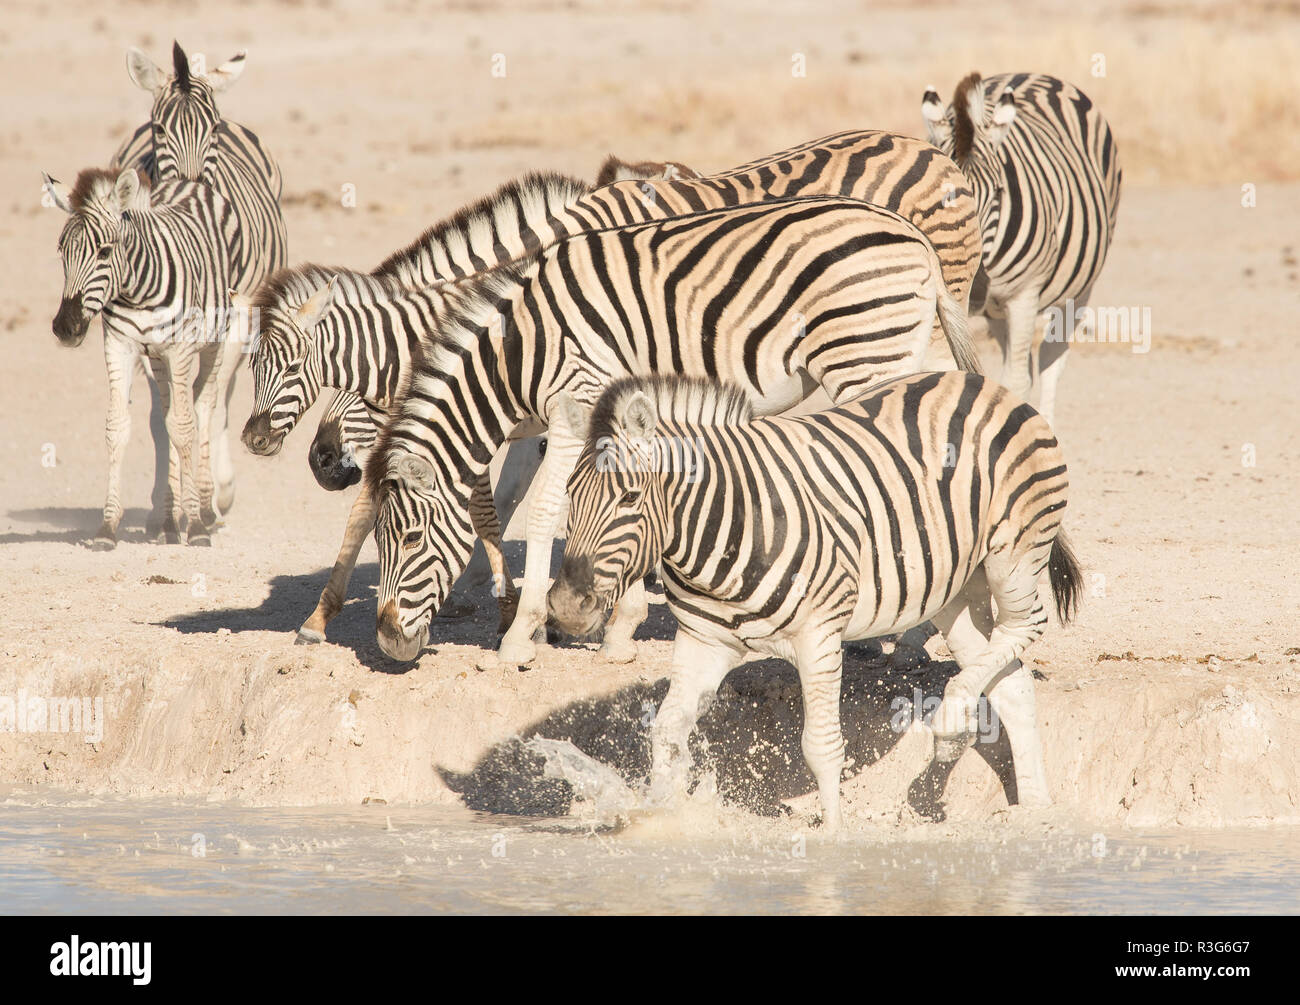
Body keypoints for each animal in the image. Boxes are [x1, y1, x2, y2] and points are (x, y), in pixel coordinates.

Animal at [44, 169, 237, 553]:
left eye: (104, 252)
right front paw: (107, 527)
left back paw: (204, 509)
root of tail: (188, 181)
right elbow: (118, 428)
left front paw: (195, 526)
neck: (136, 292)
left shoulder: (180, 349)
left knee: (203, 406)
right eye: (62, 251)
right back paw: (168, 519)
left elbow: (184, 427)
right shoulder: (119, 346)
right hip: (158, 360)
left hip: (215, 341)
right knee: (165, 414)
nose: (65, 327)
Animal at [112, 41, 289, 517]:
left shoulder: (236, 315)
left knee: (220, 396)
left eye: (212, 130)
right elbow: (167, 410)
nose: (189, 190)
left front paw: (207, 495)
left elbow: (207, 401)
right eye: (160, 129)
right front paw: (169, 501)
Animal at [361, 195, 977, 665]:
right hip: (906, 355)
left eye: (409, 539)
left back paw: (902, 632)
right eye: (381, 541)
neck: (518, 351)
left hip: (866, 358)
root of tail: (915, 237)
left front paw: (521, 638)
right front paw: (613, 629)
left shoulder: (577, 402)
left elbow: (546, 509)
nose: (387, 643)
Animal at [543, 369, 1081, 832]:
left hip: (1013, 553)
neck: (729, 526)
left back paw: (951, 724)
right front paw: (658, 815)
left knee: (1027, 624)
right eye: (569, 493)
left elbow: (821, 746)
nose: (566, 606)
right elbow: (668, 731)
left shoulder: (819, 636)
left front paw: (834, 836)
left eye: (630, 498)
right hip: (953, 587)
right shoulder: (703, 641)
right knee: (1011, 681)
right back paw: (1034, 804)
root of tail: (980, 382)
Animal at [920, 72, 1123, 426]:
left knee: (1050, 362)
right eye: (942, 195)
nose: (978, 290)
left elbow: (1017, 379)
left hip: (1077, 291)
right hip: (999, 312)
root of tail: (1035, 76)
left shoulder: (1024, 296)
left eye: (999, 192)